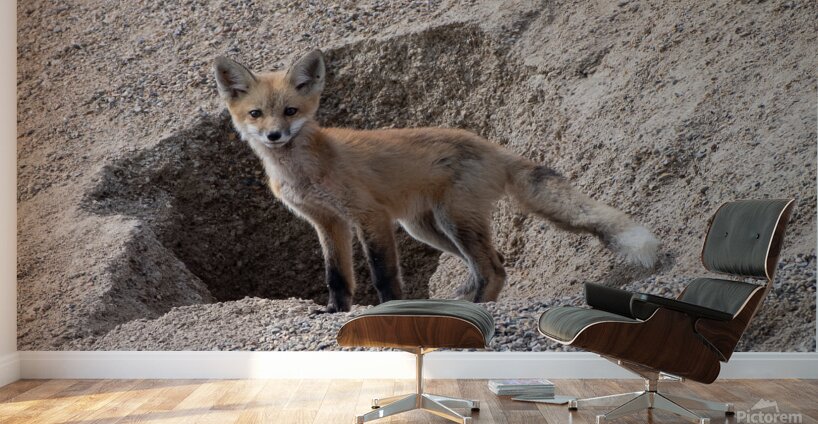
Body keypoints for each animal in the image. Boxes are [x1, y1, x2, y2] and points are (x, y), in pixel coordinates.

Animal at [213, 49, 660, 313]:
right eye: (256, 114)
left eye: (290, 111)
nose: (274, 136)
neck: (306, 170)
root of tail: (491, 146)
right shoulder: (328, 222)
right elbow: (337, 276)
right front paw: (335, 311)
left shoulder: (370, 216)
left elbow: (382, 273)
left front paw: (389, 309)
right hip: (429, 228)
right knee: (489, 266)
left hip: (454, 221)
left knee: (494, 269)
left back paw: (477, 308)